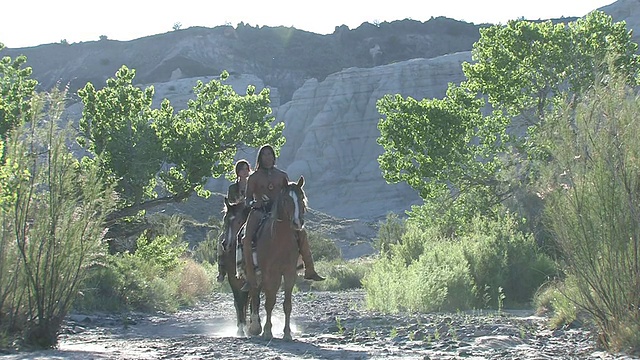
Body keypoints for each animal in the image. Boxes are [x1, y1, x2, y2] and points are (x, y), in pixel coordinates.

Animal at [246, 175, 306, 340]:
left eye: (301, 198)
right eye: (286, 199)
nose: (297, 223)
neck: (279, 240)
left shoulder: (289, 272)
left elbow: (287, 304)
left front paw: (287, 333)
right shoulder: (269, 273)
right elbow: (269, 302)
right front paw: (267, 331)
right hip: (254, 271)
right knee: (254, 294)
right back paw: (254, 327)